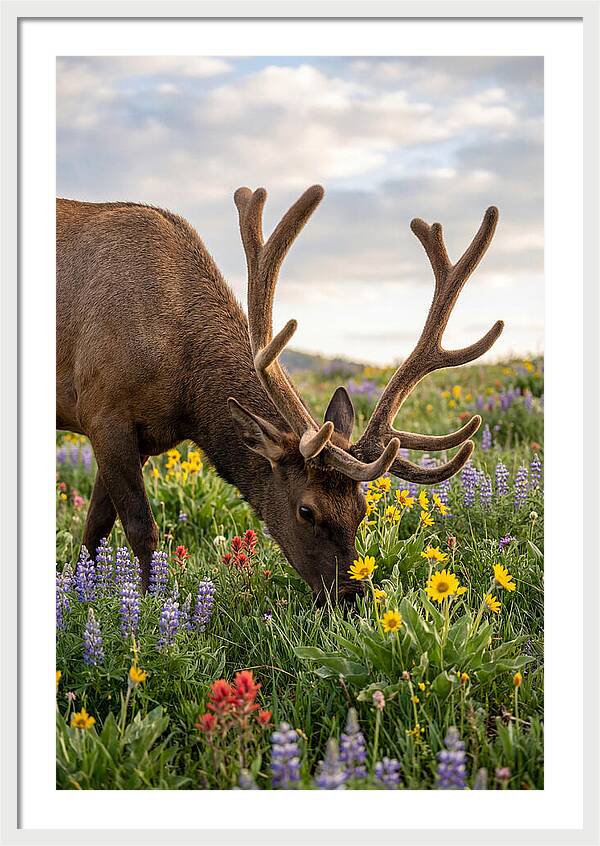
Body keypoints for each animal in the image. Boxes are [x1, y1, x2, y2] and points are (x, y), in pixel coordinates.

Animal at [56, 184, 503, 600]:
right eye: (306, 510)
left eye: (362, 509)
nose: (351, 596)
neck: (185, 391)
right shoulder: (103, 412)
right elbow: (139, 528)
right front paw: (148, 606)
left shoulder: (144, 437)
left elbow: (94, 529)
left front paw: (84, 592)